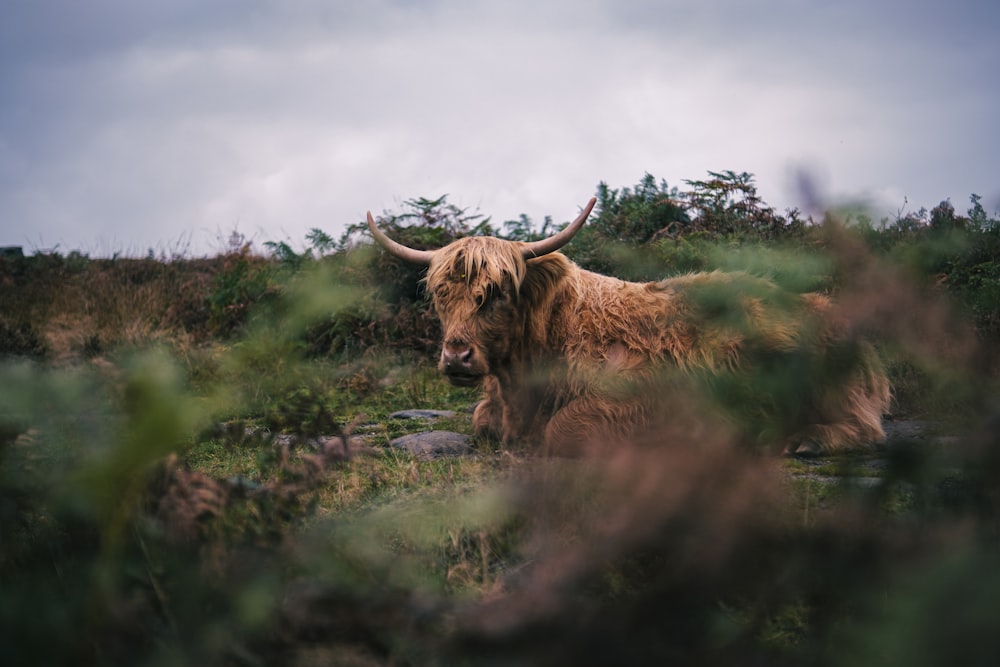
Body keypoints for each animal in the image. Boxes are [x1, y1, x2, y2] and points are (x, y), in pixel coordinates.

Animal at [368, 197, 892, 454]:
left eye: (496, 293)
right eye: (441, 295)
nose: (457, 356)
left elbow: (563, 430)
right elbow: (482, 421)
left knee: (866, 428)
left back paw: (801, 440)